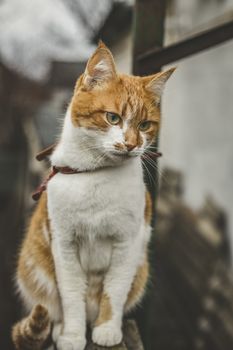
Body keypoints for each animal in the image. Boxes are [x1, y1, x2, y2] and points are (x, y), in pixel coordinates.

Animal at [11, 41, 174, 350]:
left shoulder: (127, 243)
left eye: (145, 125)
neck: (95, 174)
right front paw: (73, 336)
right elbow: (72, 297)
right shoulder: (64, 245)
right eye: (113, 118)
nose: (131, 144)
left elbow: (114, 291)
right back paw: (60, 329)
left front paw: (107, 329)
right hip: (36, 271)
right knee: (52, 308)